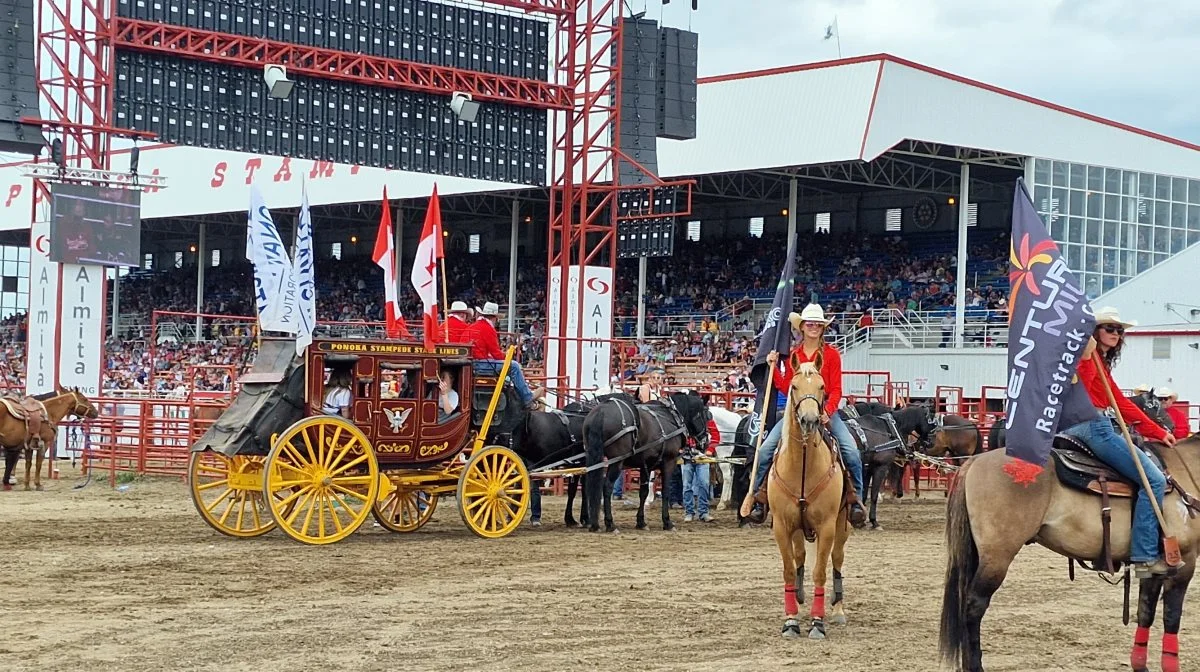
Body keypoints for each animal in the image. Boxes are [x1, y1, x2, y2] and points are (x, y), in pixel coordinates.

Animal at [583, 391, 710, 532]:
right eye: (705, 415)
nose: (705, 441)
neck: (672, 416)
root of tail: (601, 412)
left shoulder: (646, 465)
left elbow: (643, 492)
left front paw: (641, 522)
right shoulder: (668, 461)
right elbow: (666, 491)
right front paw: (667, 522)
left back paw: (594, 524)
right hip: (616, 462)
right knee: (607, 487)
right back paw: (610, 524)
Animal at [768, 362, 854, 638]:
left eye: (822, 386)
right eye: (794, 386)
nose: (809, 420)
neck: (803, 466)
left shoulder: (826, 526)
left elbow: (820, 573)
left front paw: (817, 622)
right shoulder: (782, 526)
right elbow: (788, 569)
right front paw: (791, 620)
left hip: (842, 524)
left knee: (836, 560)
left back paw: (837, 609)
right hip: (797, 528)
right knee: (800, 556)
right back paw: (799, 596)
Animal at [840, 400, 931, 528]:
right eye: (930, 419)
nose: (928, 443)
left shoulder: (868, 468)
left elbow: (864, 494)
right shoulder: (880, 467)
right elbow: (873, 494)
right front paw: (873, 521)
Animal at [936, 436, 1200, 672]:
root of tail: (974, 461)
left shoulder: (1155, 569)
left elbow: (1146, 612)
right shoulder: (1184, 563)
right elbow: (1172, 617)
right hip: (996, 558)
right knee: (973, 607)